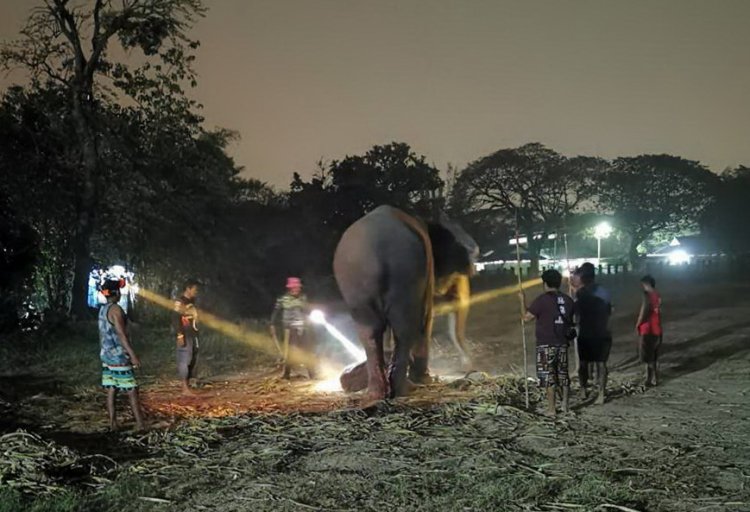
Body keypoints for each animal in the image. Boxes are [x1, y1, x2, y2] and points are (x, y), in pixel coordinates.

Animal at [334, 204, 482, 400]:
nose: (468, 367)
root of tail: (374, 242)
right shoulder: (427, 270)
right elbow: (426, 317)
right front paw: (427, 379)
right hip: (405, 274)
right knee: (405, 328)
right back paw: (405, 388)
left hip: (354, 283)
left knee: (369, 331)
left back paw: (377, 393)